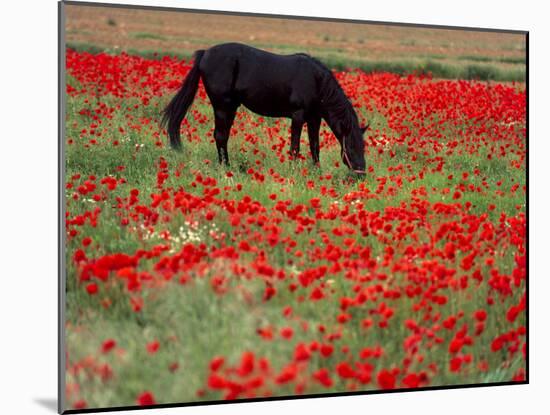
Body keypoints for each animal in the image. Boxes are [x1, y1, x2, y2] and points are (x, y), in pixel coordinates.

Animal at [162, 44, 368, 175]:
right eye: (351, 146)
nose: (361, 174)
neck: (316, 81)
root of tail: (205, 53)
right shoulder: (298, 116)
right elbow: (295, 147)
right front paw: (294, 172)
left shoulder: (314, 118)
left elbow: (314, 146)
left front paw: (316, 173)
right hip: (222, 106)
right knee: (220, 136)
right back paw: (226, 167)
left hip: (230, 107)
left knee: (223, 136)